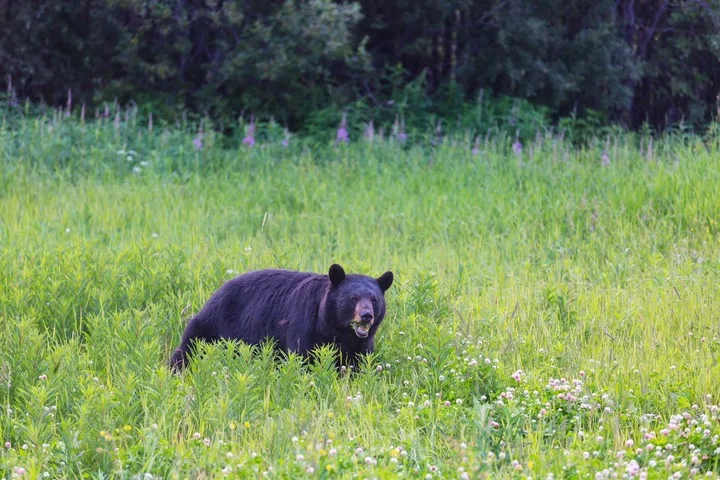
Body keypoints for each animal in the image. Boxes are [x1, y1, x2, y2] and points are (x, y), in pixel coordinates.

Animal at [169, 264, 394, 371]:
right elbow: (303, 359)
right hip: (212, 325)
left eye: (374, 299)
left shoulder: (361, 345)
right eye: (353, 298)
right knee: (188, 348)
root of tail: (216, 292)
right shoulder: (305, 326)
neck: (335, 329)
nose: (366, 316)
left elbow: (360, 364)